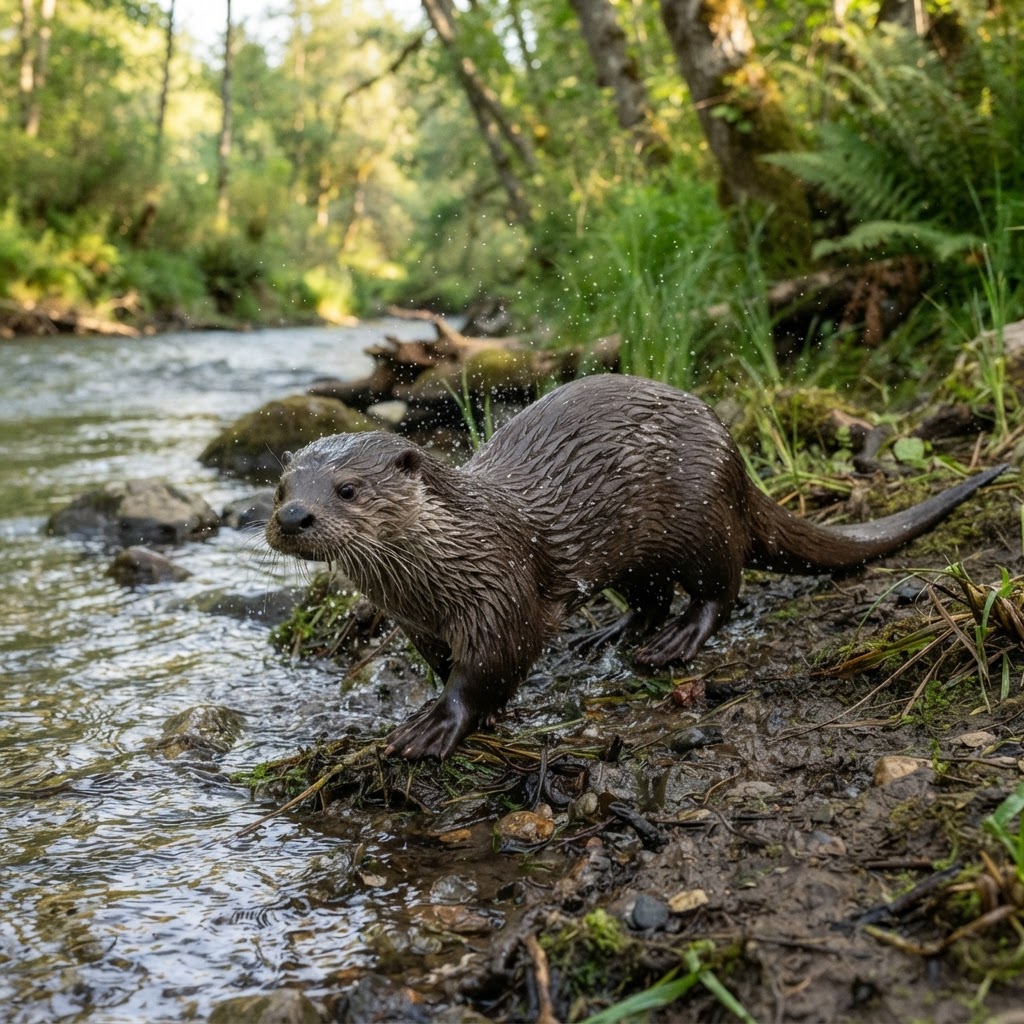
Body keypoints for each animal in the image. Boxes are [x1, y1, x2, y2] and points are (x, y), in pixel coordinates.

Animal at [266, 374, 1007, 760]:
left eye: (347, 490)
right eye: (281, 487)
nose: (294, 517)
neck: (442, 565)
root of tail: (736, 460)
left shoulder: (501, 593)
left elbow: (487, 669)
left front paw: (437, 724)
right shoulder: (419, 622)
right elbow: (448, 665)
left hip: (700, 517)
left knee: (721, 588)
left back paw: (674, 643)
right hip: (636, 556)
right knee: (649, 596)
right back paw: (609, 634)